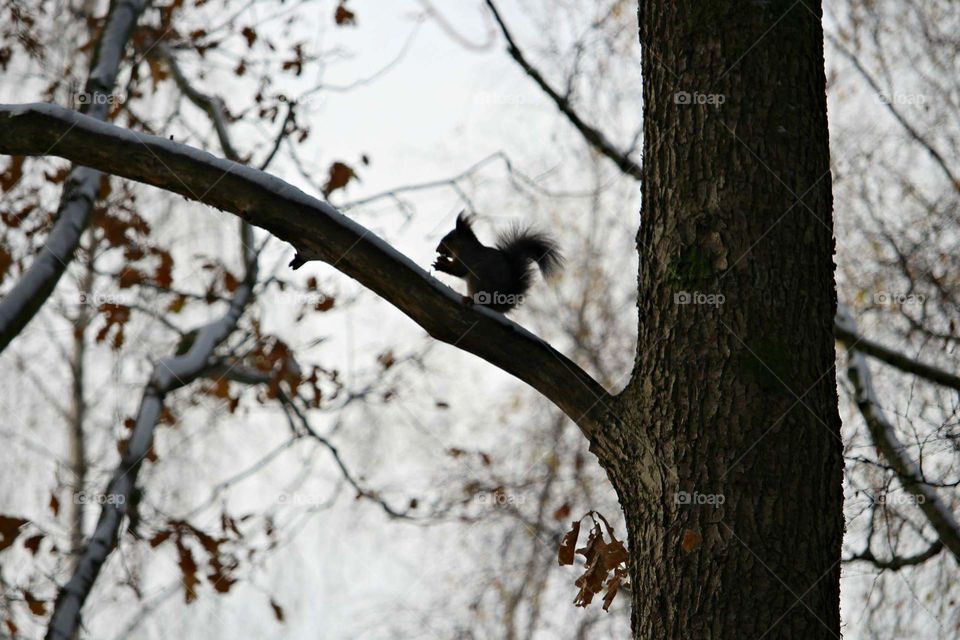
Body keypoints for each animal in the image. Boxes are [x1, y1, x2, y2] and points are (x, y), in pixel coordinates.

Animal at [432, 212, 563, 312]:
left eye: (447, 239)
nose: (436, 250)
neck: (464, 246)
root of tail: (499, 302)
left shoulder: (467, 257)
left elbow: (458, 270)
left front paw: (440, 265)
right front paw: (441, 259)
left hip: (478, 280)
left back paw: (471, 300)